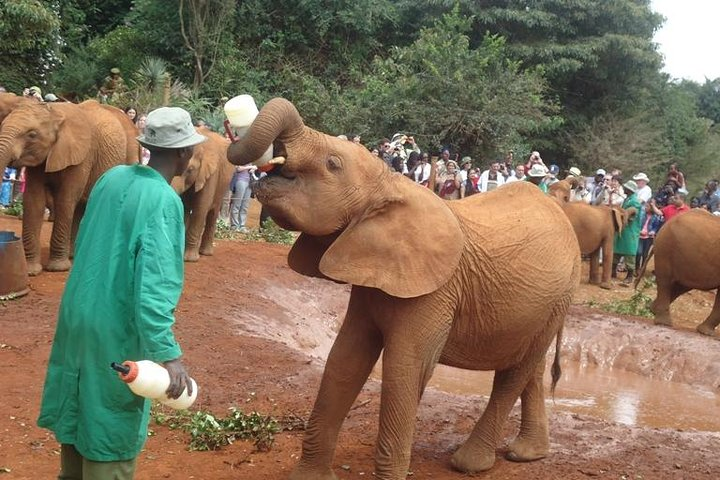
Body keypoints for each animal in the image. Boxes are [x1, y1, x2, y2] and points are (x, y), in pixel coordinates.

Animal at [0, 99, 138, 276]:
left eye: (32, 135)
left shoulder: (82, 156)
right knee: (81, 207)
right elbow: (34, 201)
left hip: (130, 155)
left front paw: (57, 268)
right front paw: (31, 271)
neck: (54, 113)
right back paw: (74, 255)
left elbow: (65, 200)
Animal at [171, 127, 233, 260]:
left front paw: (189, 259)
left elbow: (201, 208)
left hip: (222, 187)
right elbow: (184, 208)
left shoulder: (211, 173)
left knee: (212, 214)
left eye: (190, 170)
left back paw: (206, 253)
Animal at [228, 98, 584, 480]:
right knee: (530, 366)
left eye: (332, 164)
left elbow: (404, 370)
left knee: (514, 372)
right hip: (545, 300)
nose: (233, 124)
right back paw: (526, 454)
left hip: (561, 295)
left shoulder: (434, 292)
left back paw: (469, 463)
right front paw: (310, 478)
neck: (389, 184)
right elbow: (344, 361)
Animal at [636, 210, 720, 338]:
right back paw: (664, 322)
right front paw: (706, 333)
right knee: (665, 282)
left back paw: (652, 309)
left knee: (682, 285)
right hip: (665, 248)